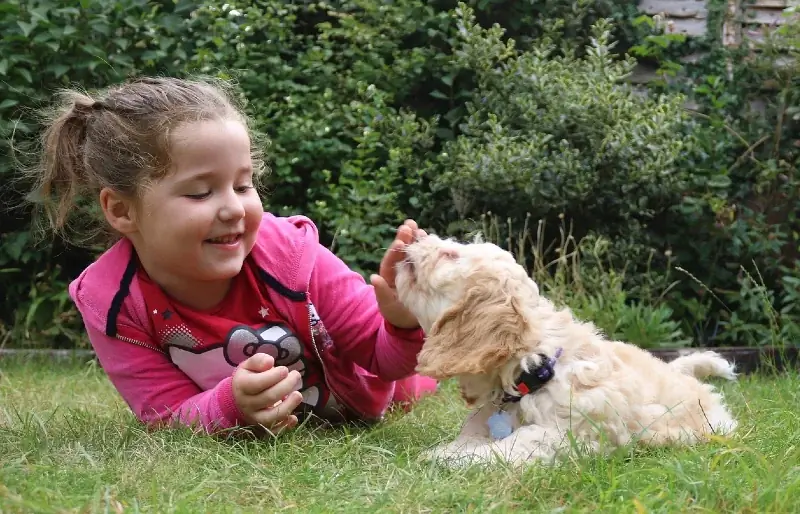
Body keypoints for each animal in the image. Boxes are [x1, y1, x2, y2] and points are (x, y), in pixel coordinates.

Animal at [394, 234, 736, 466]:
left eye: (450, 254)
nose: (416, 236)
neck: (533, 367)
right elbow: (469, 437)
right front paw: (447, 450)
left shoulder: (568, 435)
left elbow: (516, 444)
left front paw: (453, 460)